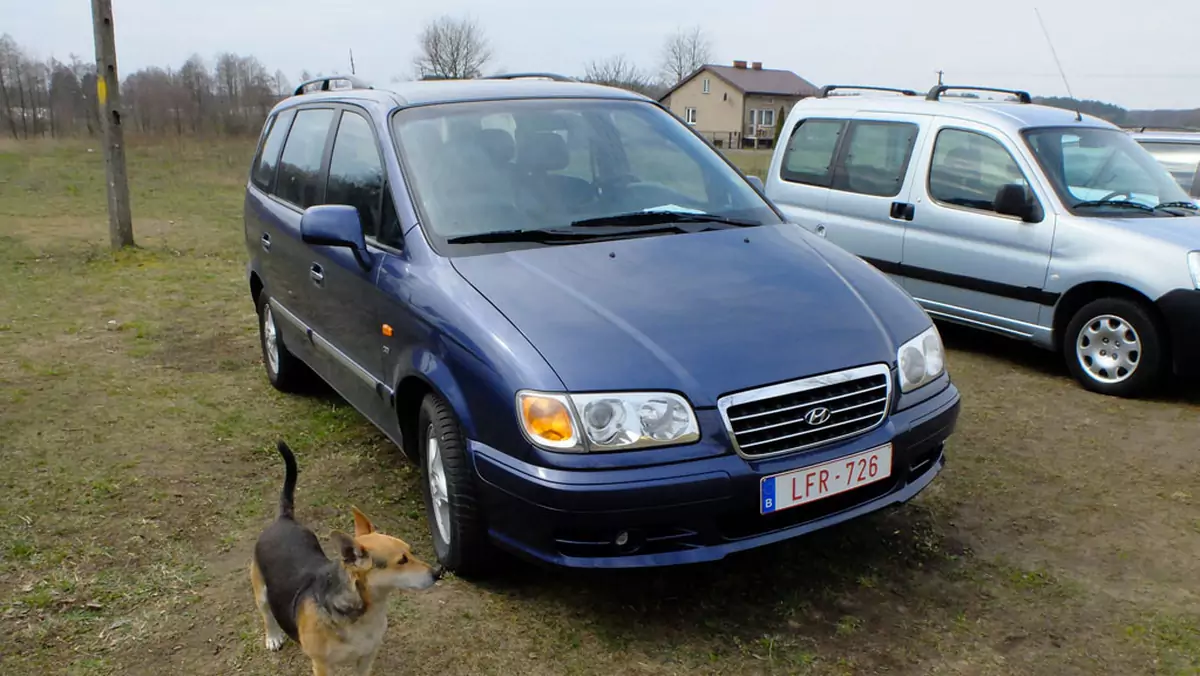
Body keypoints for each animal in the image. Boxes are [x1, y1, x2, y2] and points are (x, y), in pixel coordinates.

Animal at [249, 441, 441, 672]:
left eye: (410, 551)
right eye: (402, 561)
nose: (438, 572)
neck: (365, 612)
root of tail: (284, 518)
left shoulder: (367, 656)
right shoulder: (322, 666)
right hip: (261, 591)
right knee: (266, 613)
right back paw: (273, 637)